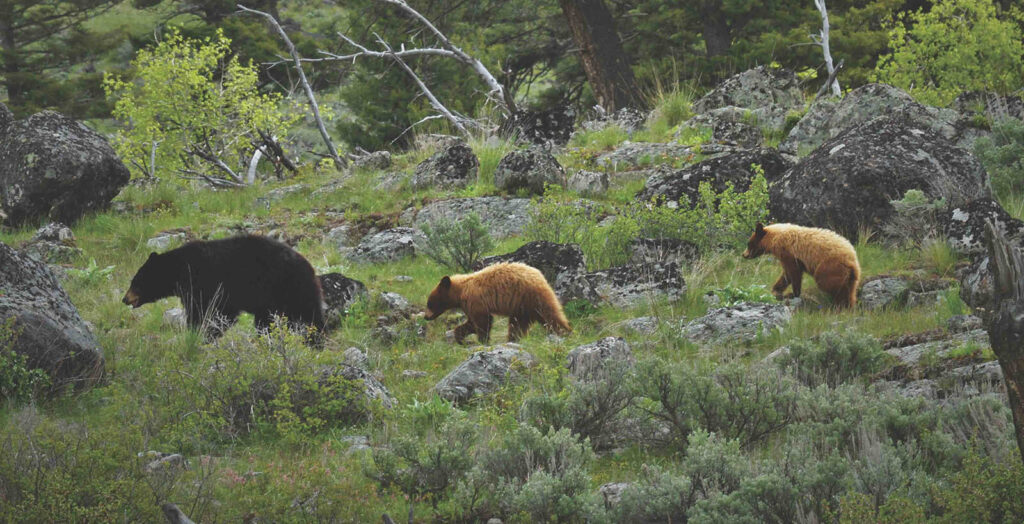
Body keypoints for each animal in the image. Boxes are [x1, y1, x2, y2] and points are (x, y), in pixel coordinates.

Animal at [121, 236, 325, 341]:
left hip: (288, 287)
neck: (179, 270)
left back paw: (315, 338)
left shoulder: (206, 285)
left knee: (308, 315)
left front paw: (202, 334)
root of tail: (308, 265)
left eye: (135, 282)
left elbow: (210, 312)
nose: (124, 299)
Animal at [419, 262, 573, 343]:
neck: (461, 291)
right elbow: (471, 323)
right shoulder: (468, 305)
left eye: (430, 303)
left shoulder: (475, 300)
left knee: (550, 314)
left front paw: (483, 340)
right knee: (517, 325)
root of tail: (540, 275)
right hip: (521, 307)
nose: (426, 317)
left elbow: (482, 321)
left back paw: (565, 331)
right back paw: (512, 340)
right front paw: (460, 336)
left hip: (531, 296)